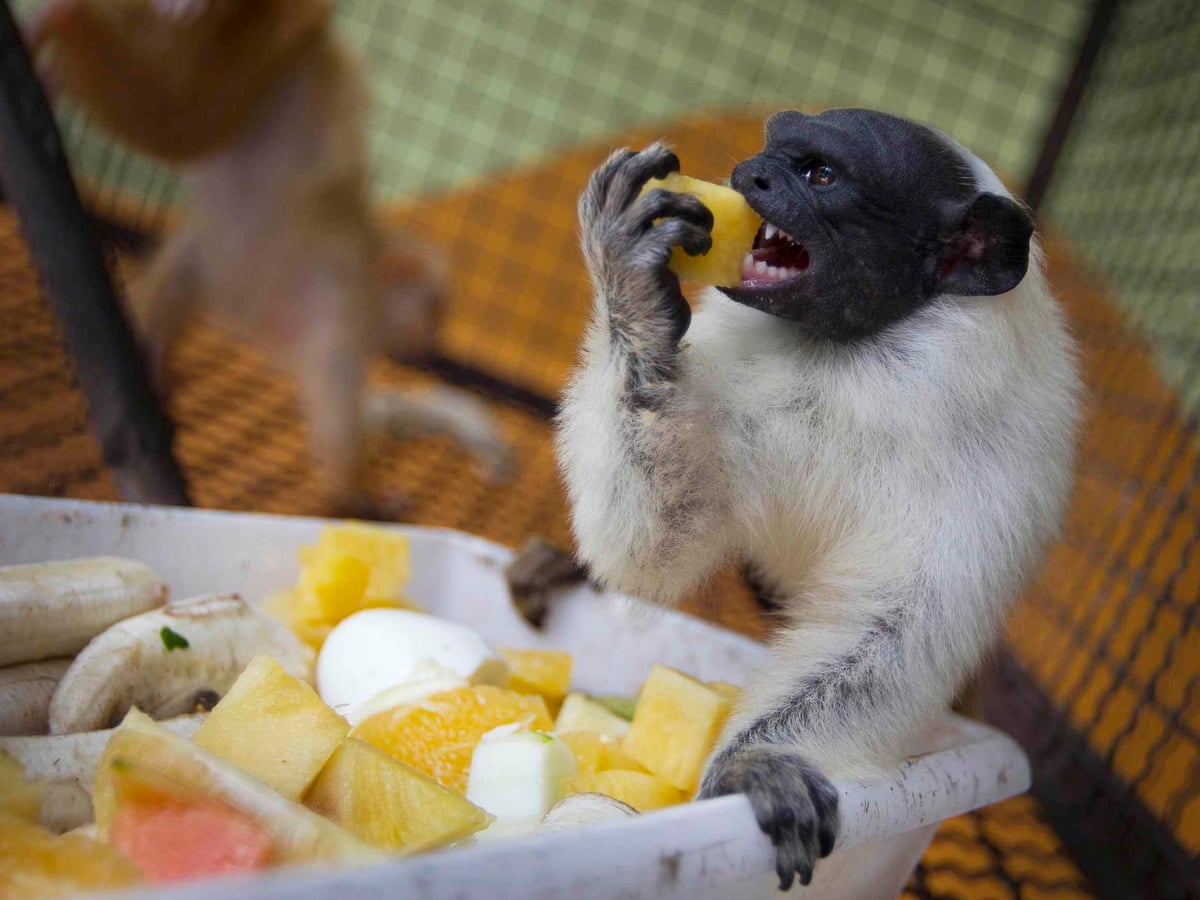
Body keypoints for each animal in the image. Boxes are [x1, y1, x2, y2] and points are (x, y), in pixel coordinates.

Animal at [26, 0, 512, 514]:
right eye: (436, 306)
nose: (434, 333)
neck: (365, 264)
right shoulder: (339, 309)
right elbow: (338, 433)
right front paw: (364, 499)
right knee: (180, 120)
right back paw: (77, 28)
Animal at [555, 109, 1080, 889]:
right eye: (773, 146)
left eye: (822, 174)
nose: (751, 173)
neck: (846, 358)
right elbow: (652, 550)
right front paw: (634, 297)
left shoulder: (986, 478)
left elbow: (897, 633)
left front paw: (753, 763)